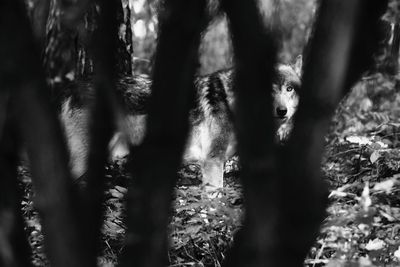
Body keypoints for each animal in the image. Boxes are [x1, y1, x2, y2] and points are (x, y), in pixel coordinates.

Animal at [61, 56, 302, 188]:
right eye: (269, 89)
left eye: (289, 89)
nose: (282, 111)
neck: (232, 102)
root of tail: (71, 88)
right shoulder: (212, 161)